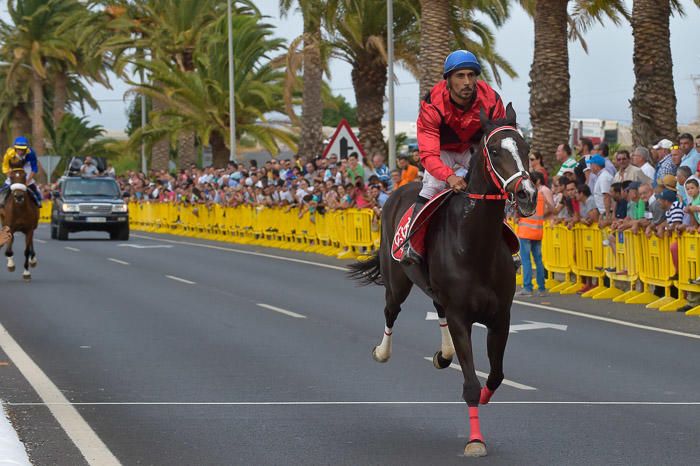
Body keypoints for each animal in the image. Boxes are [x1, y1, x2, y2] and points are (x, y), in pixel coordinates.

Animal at [348, 104, 536, 456]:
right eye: (494, 150)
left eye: (526, 147)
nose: (527, 194)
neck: (475, 245)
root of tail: (397, 191)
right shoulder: (462, 316)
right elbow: (471, 383)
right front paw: (475, 441)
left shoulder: (500, 317)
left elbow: (496, 375)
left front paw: (485, 397)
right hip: (397, 281)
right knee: (391, 311)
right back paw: (383, 351)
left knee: (437, 308)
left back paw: (443, 354)